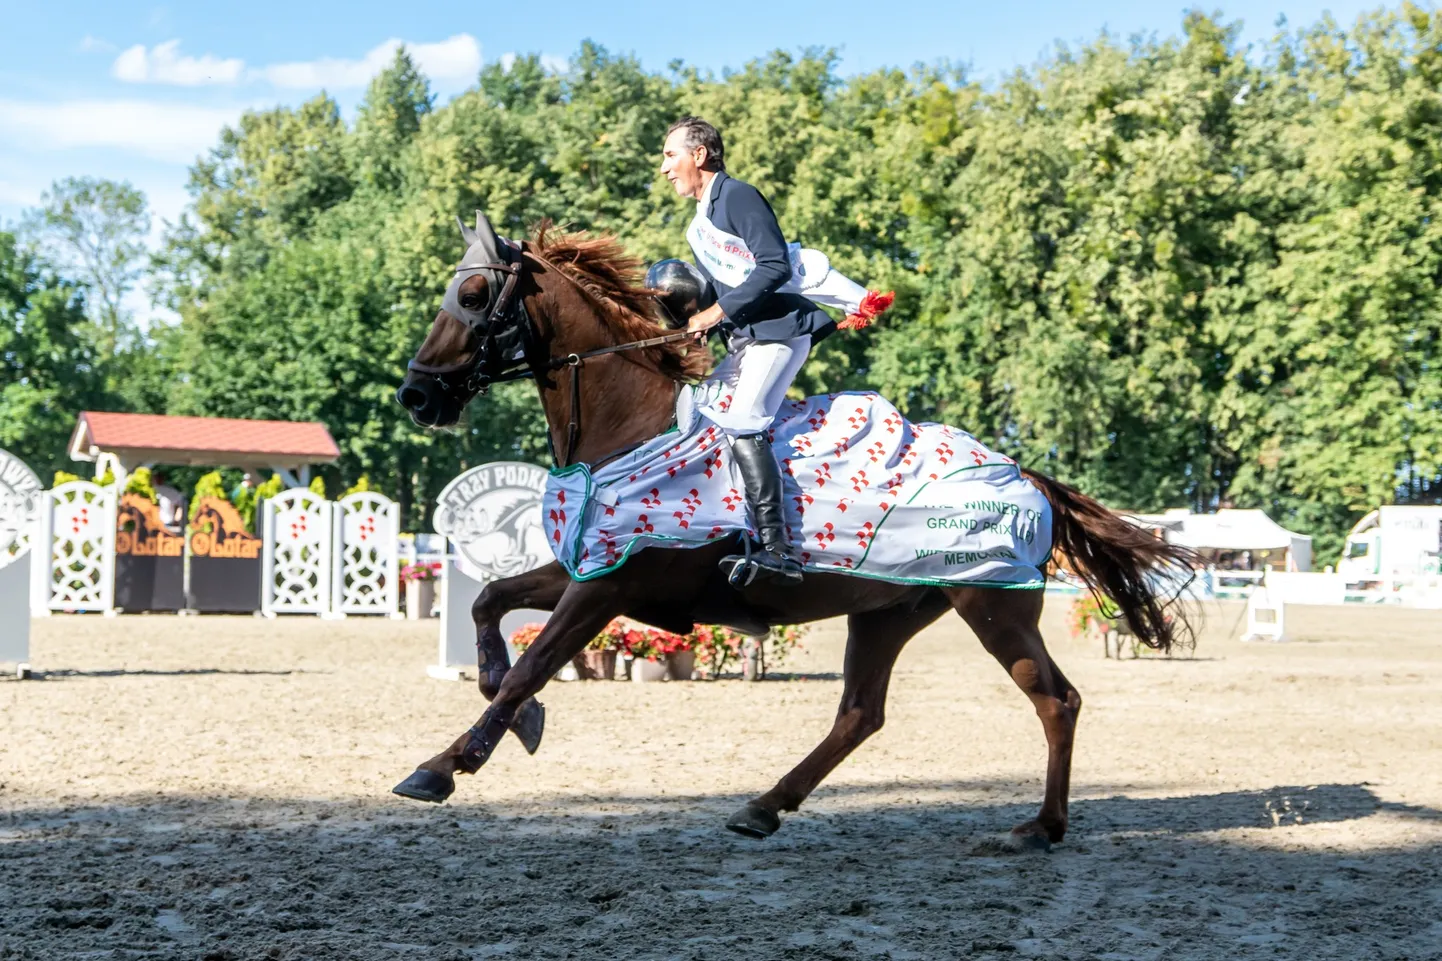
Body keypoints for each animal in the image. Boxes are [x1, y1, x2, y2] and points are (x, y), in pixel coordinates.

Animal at [389, 212, 1188, 848]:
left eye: (472, 296)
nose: (416, 395)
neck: (630, 426)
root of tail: (1023, 472)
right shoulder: (588, 566)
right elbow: (489, 604)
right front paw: (513, 714)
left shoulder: (606, 587)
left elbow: (533, 662)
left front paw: (443, 765)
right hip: (887, 614)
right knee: (861, 714)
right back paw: (764, 805)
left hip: (994, 610)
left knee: (1056, 699)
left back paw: (1040, 827)